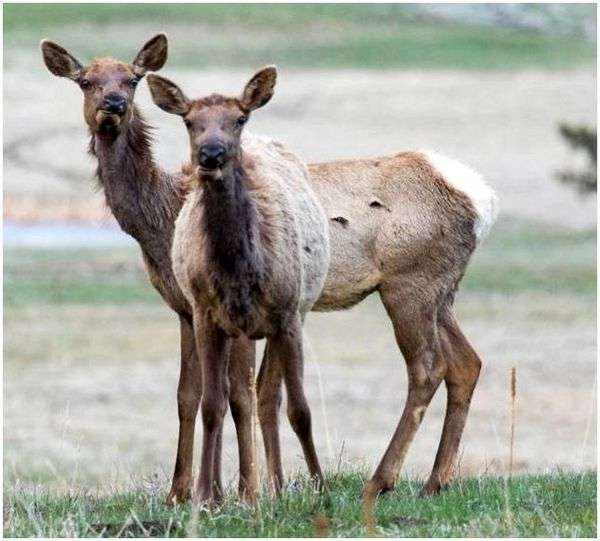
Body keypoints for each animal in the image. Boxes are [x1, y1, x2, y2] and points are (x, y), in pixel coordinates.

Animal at [41, 35, 258, 504]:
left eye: (133, 78)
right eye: (86, 81)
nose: (114, 103)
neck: (163, 225)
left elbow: (239, 393)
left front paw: (247, 492)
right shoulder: (184, 308)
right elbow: (189, 394)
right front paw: (184, 492)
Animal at [147, 68, 330, 502]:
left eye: (239, 119)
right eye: (189, 121)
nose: (211, 154)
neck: (240, 273)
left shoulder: (287, 316)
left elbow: (301, 409)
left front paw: (321, 487)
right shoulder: (205, 316)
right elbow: (212, 405)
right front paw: (203, 495)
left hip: (292, 313)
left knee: (270, 397)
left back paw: (278, 485)